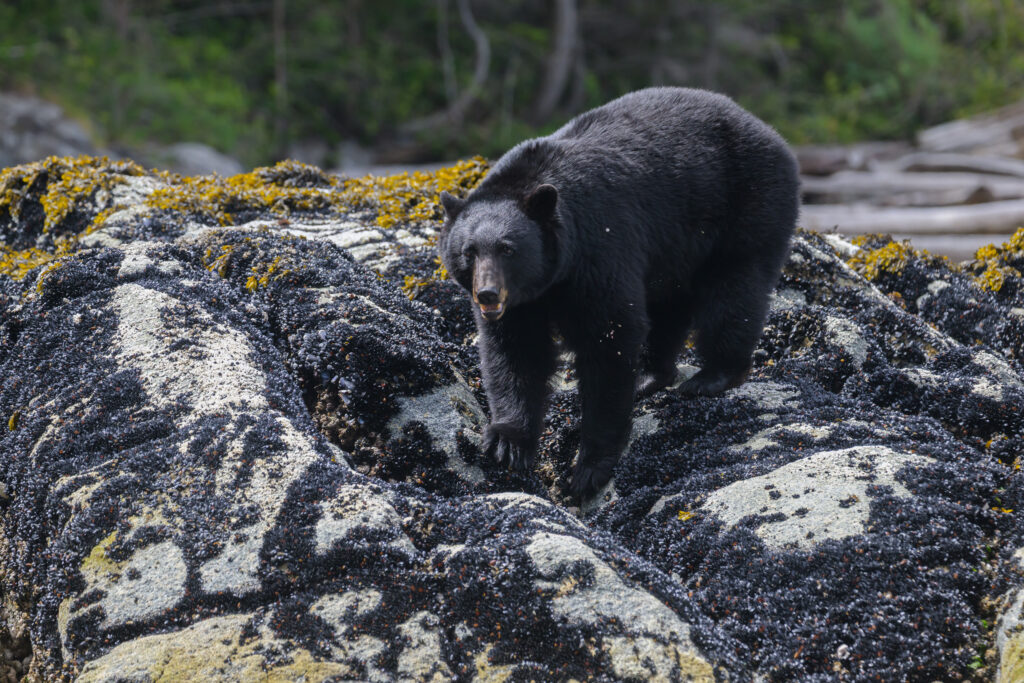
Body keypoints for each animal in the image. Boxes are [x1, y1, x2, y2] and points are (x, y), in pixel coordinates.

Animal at [437, 87, 799, 499]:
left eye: (507, 249)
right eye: (469, 251)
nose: (487, 294)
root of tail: (767, 129)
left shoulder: (599, 249)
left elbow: (609, 338)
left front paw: (590, 466)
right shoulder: (523, 303)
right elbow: (516, 352)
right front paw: (507, 441)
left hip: (748, 201)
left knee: (734, 289)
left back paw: (713, 376)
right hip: (676, 247)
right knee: (669, 308)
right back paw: (650, 376)